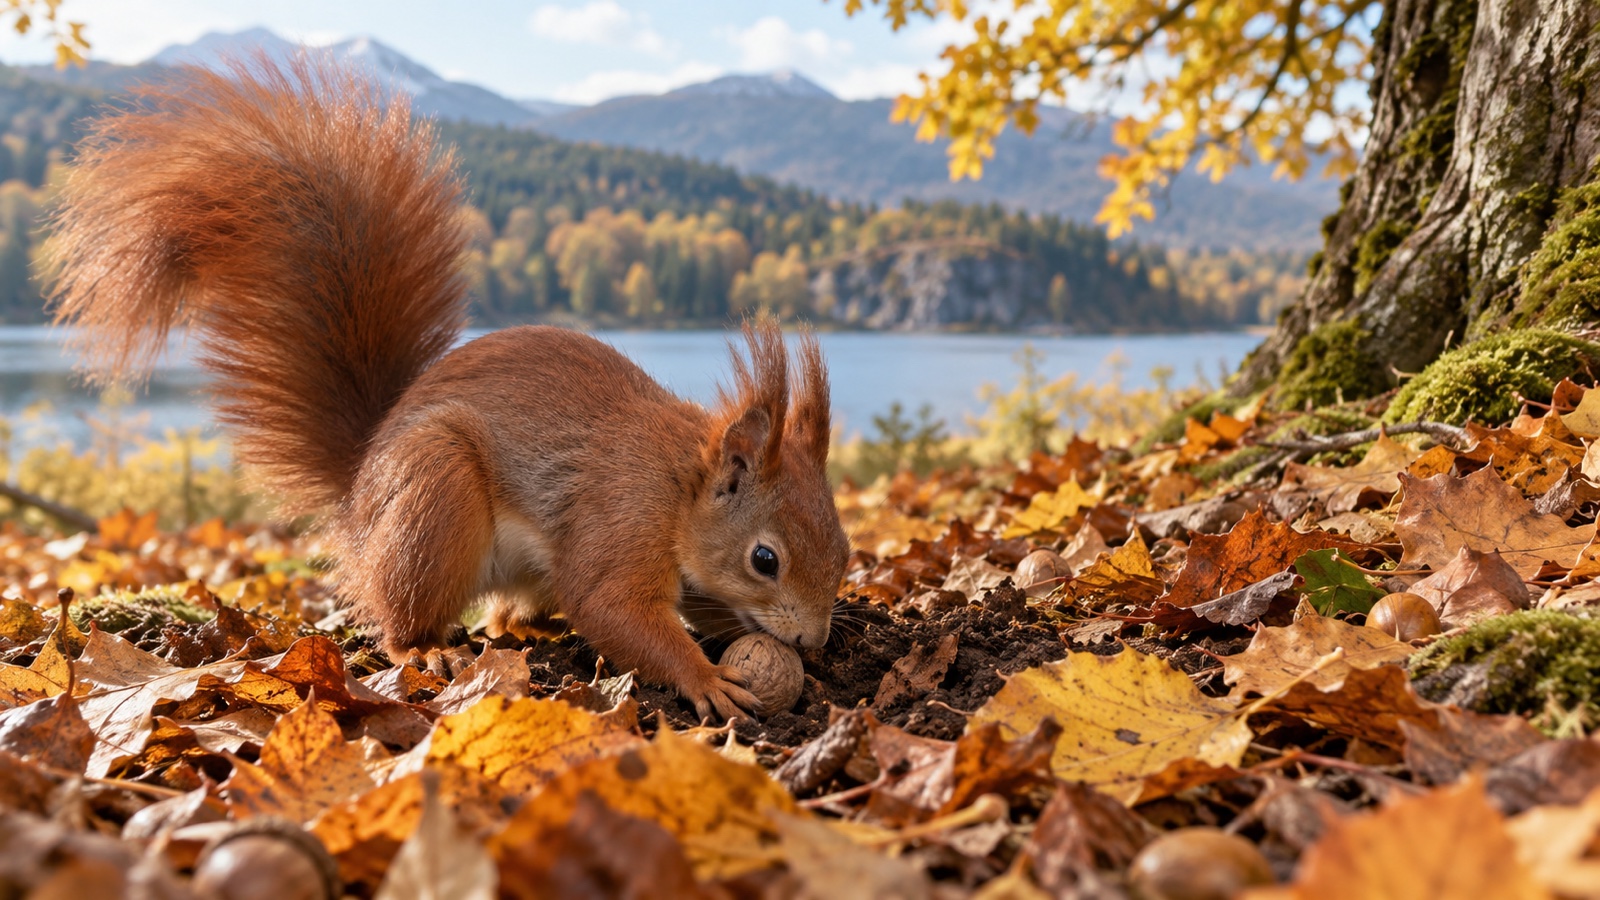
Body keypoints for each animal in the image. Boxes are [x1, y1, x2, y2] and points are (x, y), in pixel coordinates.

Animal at [45, 57, 849, 721]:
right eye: (765, 559)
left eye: (843, 549)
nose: (813, 641)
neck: (682, 484)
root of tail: (359, 495)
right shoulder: (620, 519)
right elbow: (612, 608)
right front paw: (705, 677)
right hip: (434, 501)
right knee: (403, 616)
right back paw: (425, 649)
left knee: (504, 616)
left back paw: (530, 624)